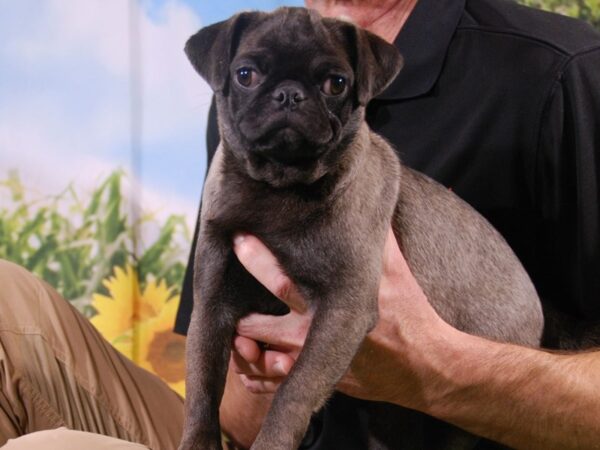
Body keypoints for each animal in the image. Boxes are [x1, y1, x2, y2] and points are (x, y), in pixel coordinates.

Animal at [179, 7, 544, 450]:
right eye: (245, 75)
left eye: (336, 83)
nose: (288, 94)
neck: (279, 188)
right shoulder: (211, 306)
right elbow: (201, 389)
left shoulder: (342, 308)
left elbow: (294, 391)